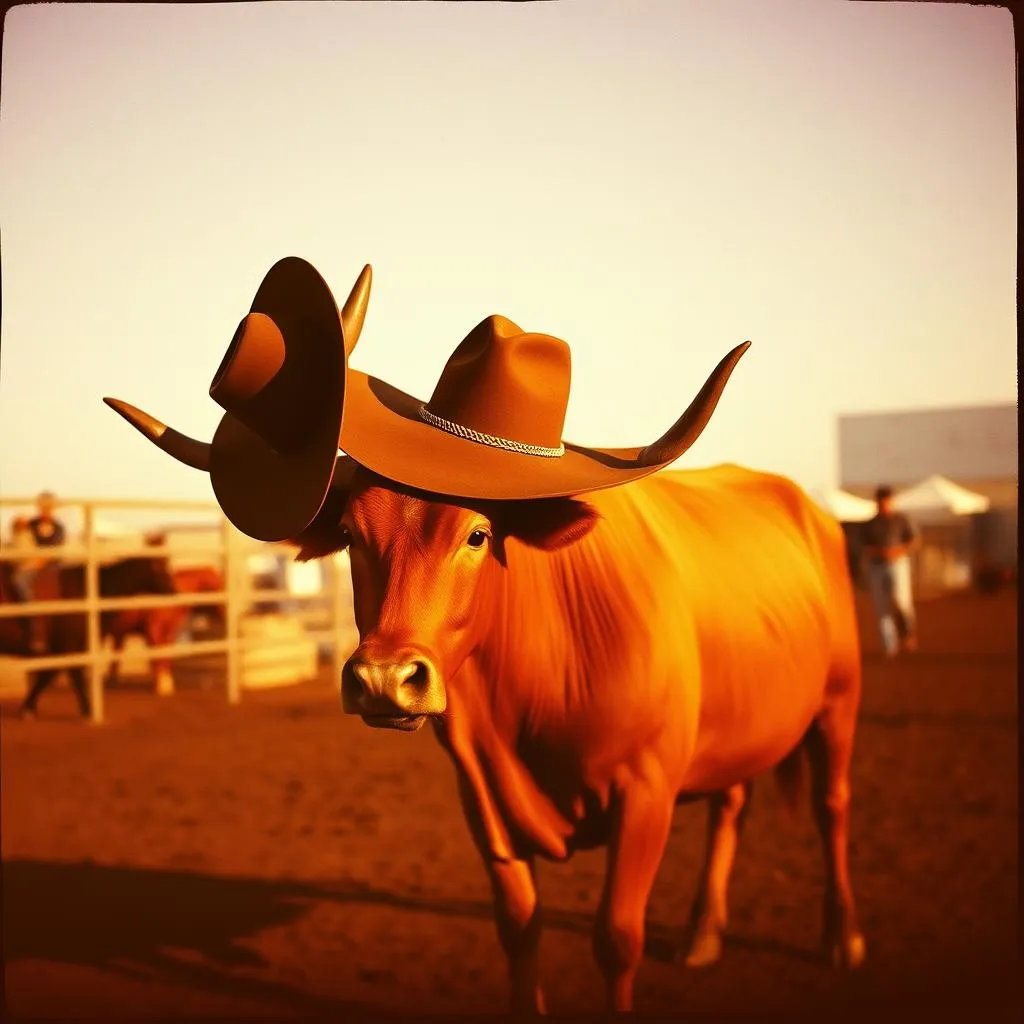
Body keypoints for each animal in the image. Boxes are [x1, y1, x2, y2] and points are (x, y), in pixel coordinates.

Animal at [284, 459, 867, 1013]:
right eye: (350, 534)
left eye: (477, 535)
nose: (383, 679)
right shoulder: (482, 800)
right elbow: (519, 929)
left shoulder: (646, 792)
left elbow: (617, 938)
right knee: (732, 804)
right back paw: (702, 936)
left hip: (839, 700)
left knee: (832, 805)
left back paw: (844, 938)